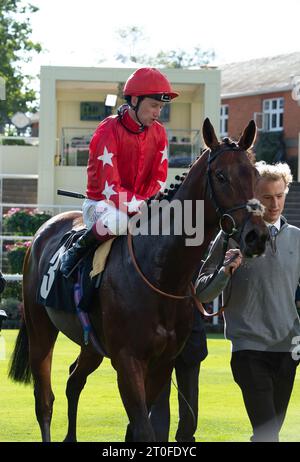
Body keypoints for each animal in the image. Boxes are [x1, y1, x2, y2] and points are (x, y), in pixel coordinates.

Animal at [8, 118, 268, 440]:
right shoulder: (127, 361)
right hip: (40, 329)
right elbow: (143, 429)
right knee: (44, 400)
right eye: (221, 176)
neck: (160, 272)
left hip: (90, 343)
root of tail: (44, 230)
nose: (257, 236)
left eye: (256, 175)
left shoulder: (163, 362)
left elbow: (137, 427)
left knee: (73, 380)